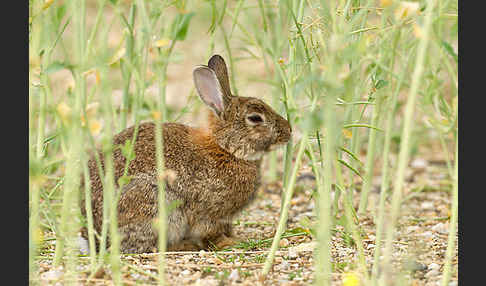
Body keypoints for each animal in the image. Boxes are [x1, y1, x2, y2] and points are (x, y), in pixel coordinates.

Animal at [80, 54, 292, 254]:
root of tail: (95, 235)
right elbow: (211, 233)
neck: (227, 150)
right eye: (255, 118)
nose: (289, 131)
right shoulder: (210, 214)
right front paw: (230, 243)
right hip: (158, 207)